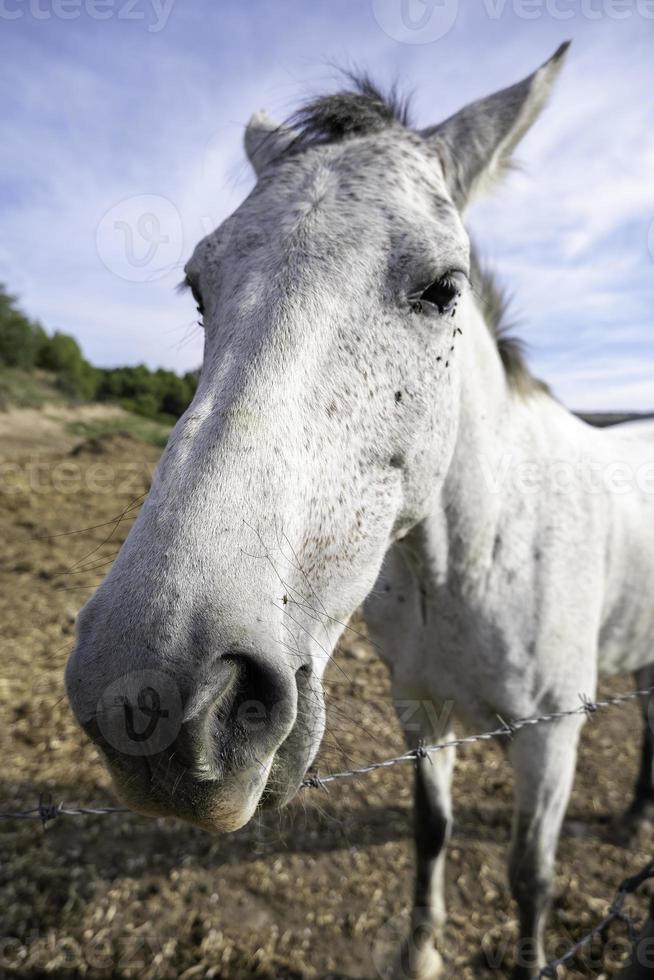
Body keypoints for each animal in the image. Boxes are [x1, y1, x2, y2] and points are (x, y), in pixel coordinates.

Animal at [68, 46, 654, 980]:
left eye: (443, 288)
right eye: (197, 288)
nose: (146, 697)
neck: (472, 559)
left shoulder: (552, 735)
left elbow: (531, 874)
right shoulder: (419, 709)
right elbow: (430, 831)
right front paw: (419, 953)